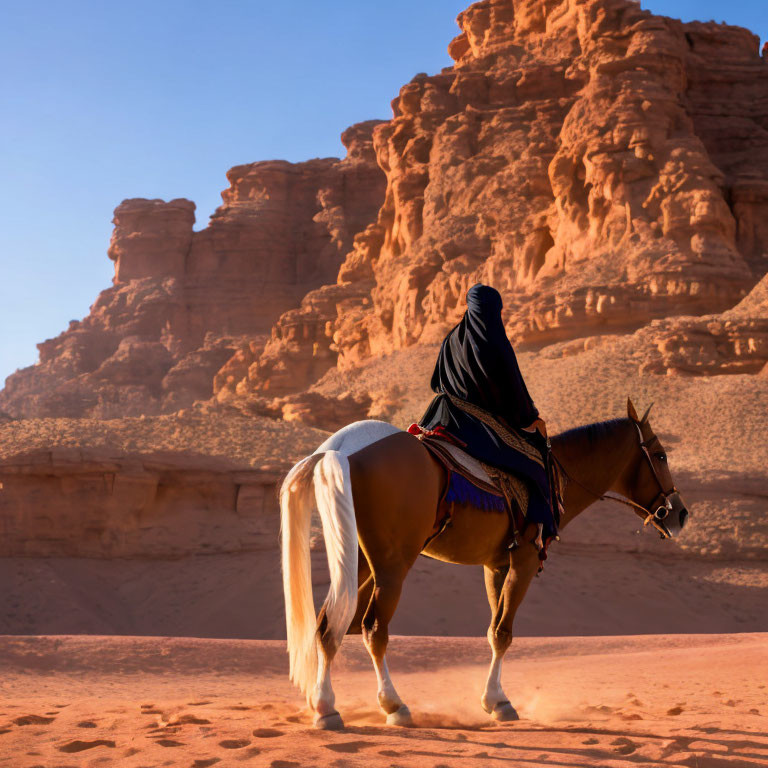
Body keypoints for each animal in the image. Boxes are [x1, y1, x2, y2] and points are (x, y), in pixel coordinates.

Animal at [280, 400, 688, 728]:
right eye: (661, 455)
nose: (679, 514)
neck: (556, 476)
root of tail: (339, 449)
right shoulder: (524, 560)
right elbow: (503, 632)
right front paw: (499, 703)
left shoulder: (495, 566)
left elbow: (493, 631)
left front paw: (495, 700)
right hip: (392, 565)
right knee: (373, 629)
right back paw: (394, 706)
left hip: (361, 561)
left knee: (327, 625)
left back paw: (325, 708)